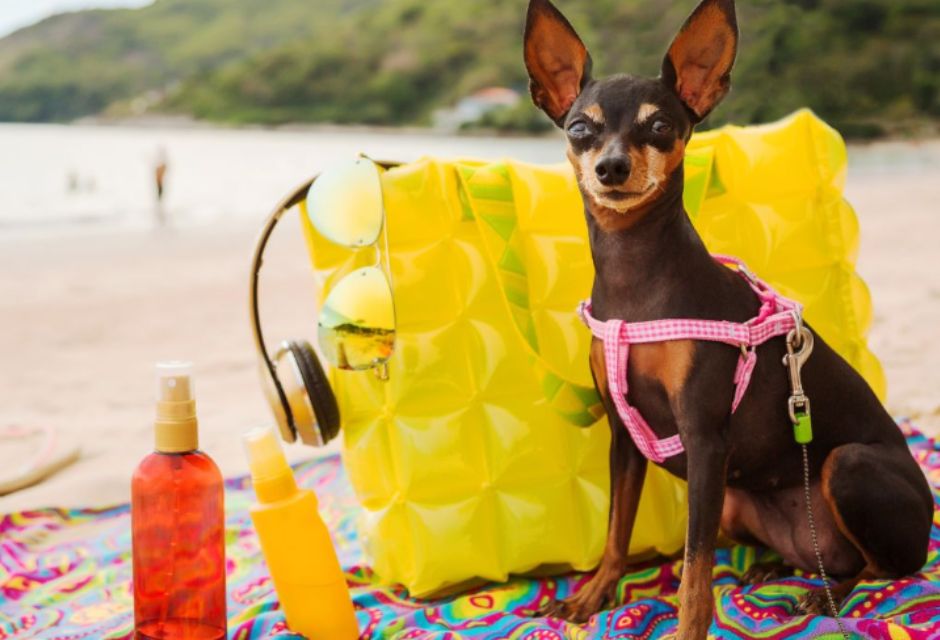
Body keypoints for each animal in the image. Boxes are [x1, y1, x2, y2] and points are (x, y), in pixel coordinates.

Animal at [524, 0, 936, 636]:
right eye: (579, 129)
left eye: (660, 126)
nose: (611, 168)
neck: (635, 277)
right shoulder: (624, 436)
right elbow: (618, 530)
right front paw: (593, 595)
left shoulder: (704, 439)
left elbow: (694, 569)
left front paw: (689, 627)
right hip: (739, 499)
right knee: (818, 555)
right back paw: (771, 569)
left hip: (845, 466)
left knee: (888, 568)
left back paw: (829, 596)